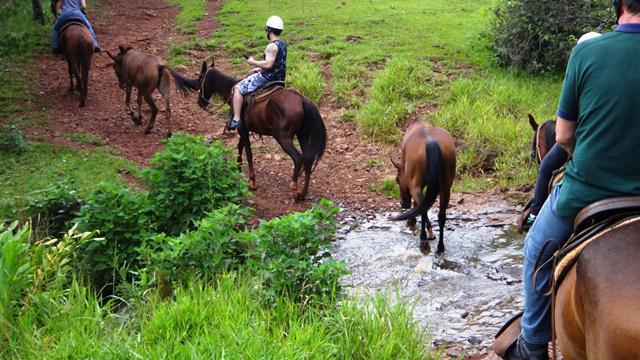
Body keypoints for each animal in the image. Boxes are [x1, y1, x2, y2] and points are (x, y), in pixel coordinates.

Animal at [194, 60, 324, 201]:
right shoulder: (244, 129)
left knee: (298, 158)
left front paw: (252, 181)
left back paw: (294, 190)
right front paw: (238, 170)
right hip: (303, 137)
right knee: (308, 159)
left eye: (200, 78)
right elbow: (240, 146)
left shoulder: (241, 128)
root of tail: (302, 100)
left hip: (282, 137)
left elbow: (248, 152)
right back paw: (303, 193)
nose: (200, 102)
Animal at [390, 121, 456, 253]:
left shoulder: (414, 186)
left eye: (397, 180)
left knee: (424, 210)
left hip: (415, 187)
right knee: (441, 216)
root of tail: (430, 142)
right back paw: (440, 247)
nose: (403, 204)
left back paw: (424, 240)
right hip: (445, 188)